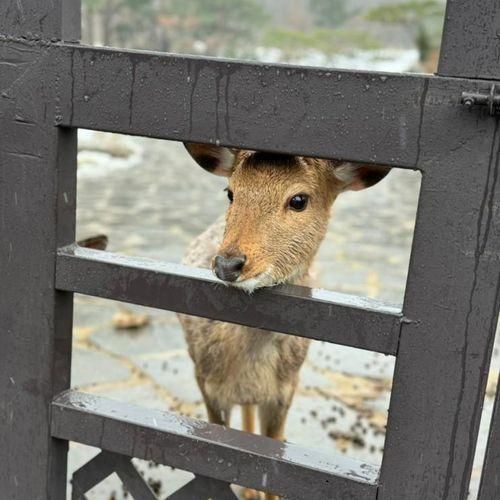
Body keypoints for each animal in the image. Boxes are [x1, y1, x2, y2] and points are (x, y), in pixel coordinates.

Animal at [178, 143, 388, 498]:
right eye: (230, 192)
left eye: (299, 199)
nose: (228, 263)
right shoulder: (206, 384)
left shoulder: (286, 392)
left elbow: (273, 465)